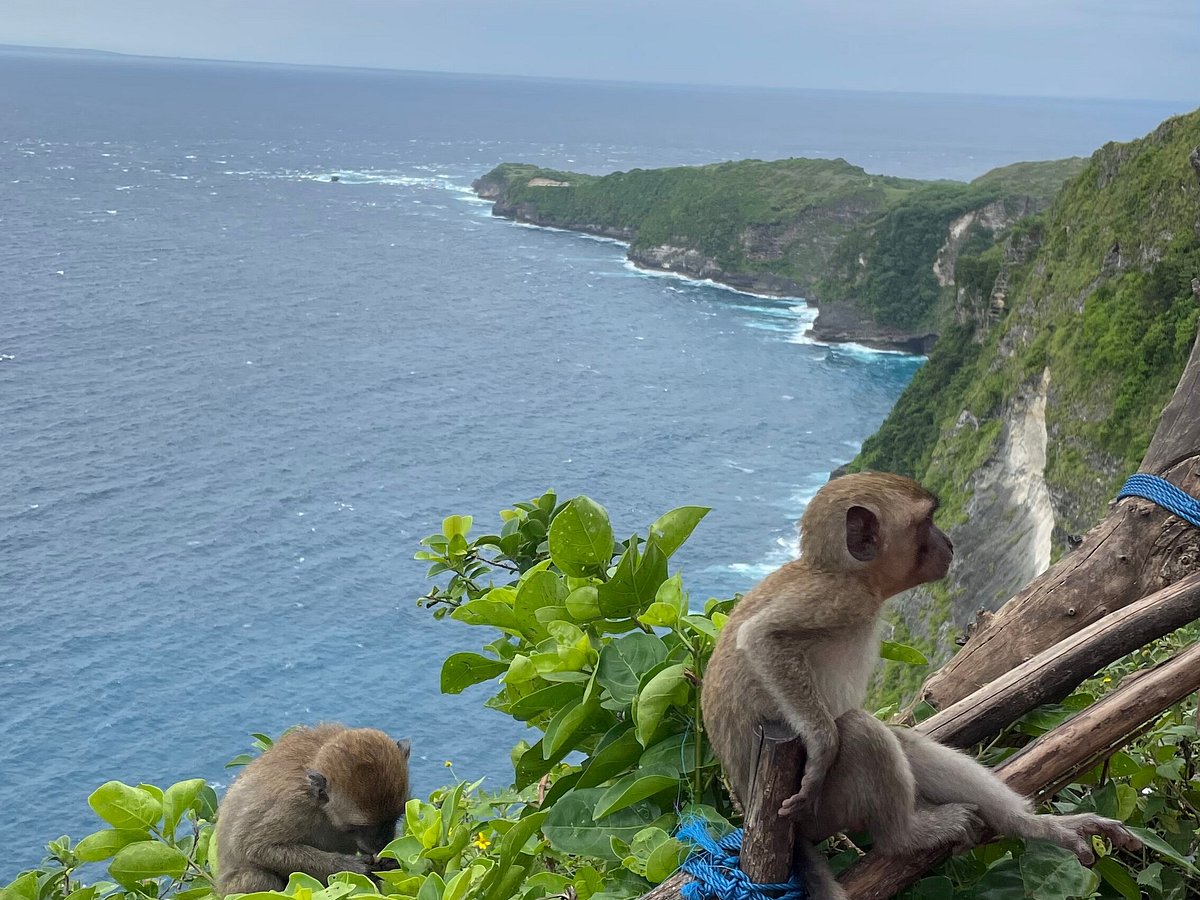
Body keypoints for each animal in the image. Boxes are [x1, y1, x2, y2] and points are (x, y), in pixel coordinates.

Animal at [219, 724, 412, 897]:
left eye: (394, 819)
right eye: (362, 827)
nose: (381, 844)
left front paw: (390, 859)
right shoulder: (294, 804)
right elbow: (254, 846)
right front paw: (349, 866)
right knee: (258, 877)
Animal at [700, 475, 1142, 897]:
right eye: (927, 521)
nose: (948, 542)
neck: (850, 574)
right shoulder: (842, 598)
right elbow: (763, 638)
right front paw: (822, 745)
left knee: (901, 742)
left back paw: (1029, 824)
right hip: (818, 812)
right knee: (861, 732)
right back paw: (904, 836)